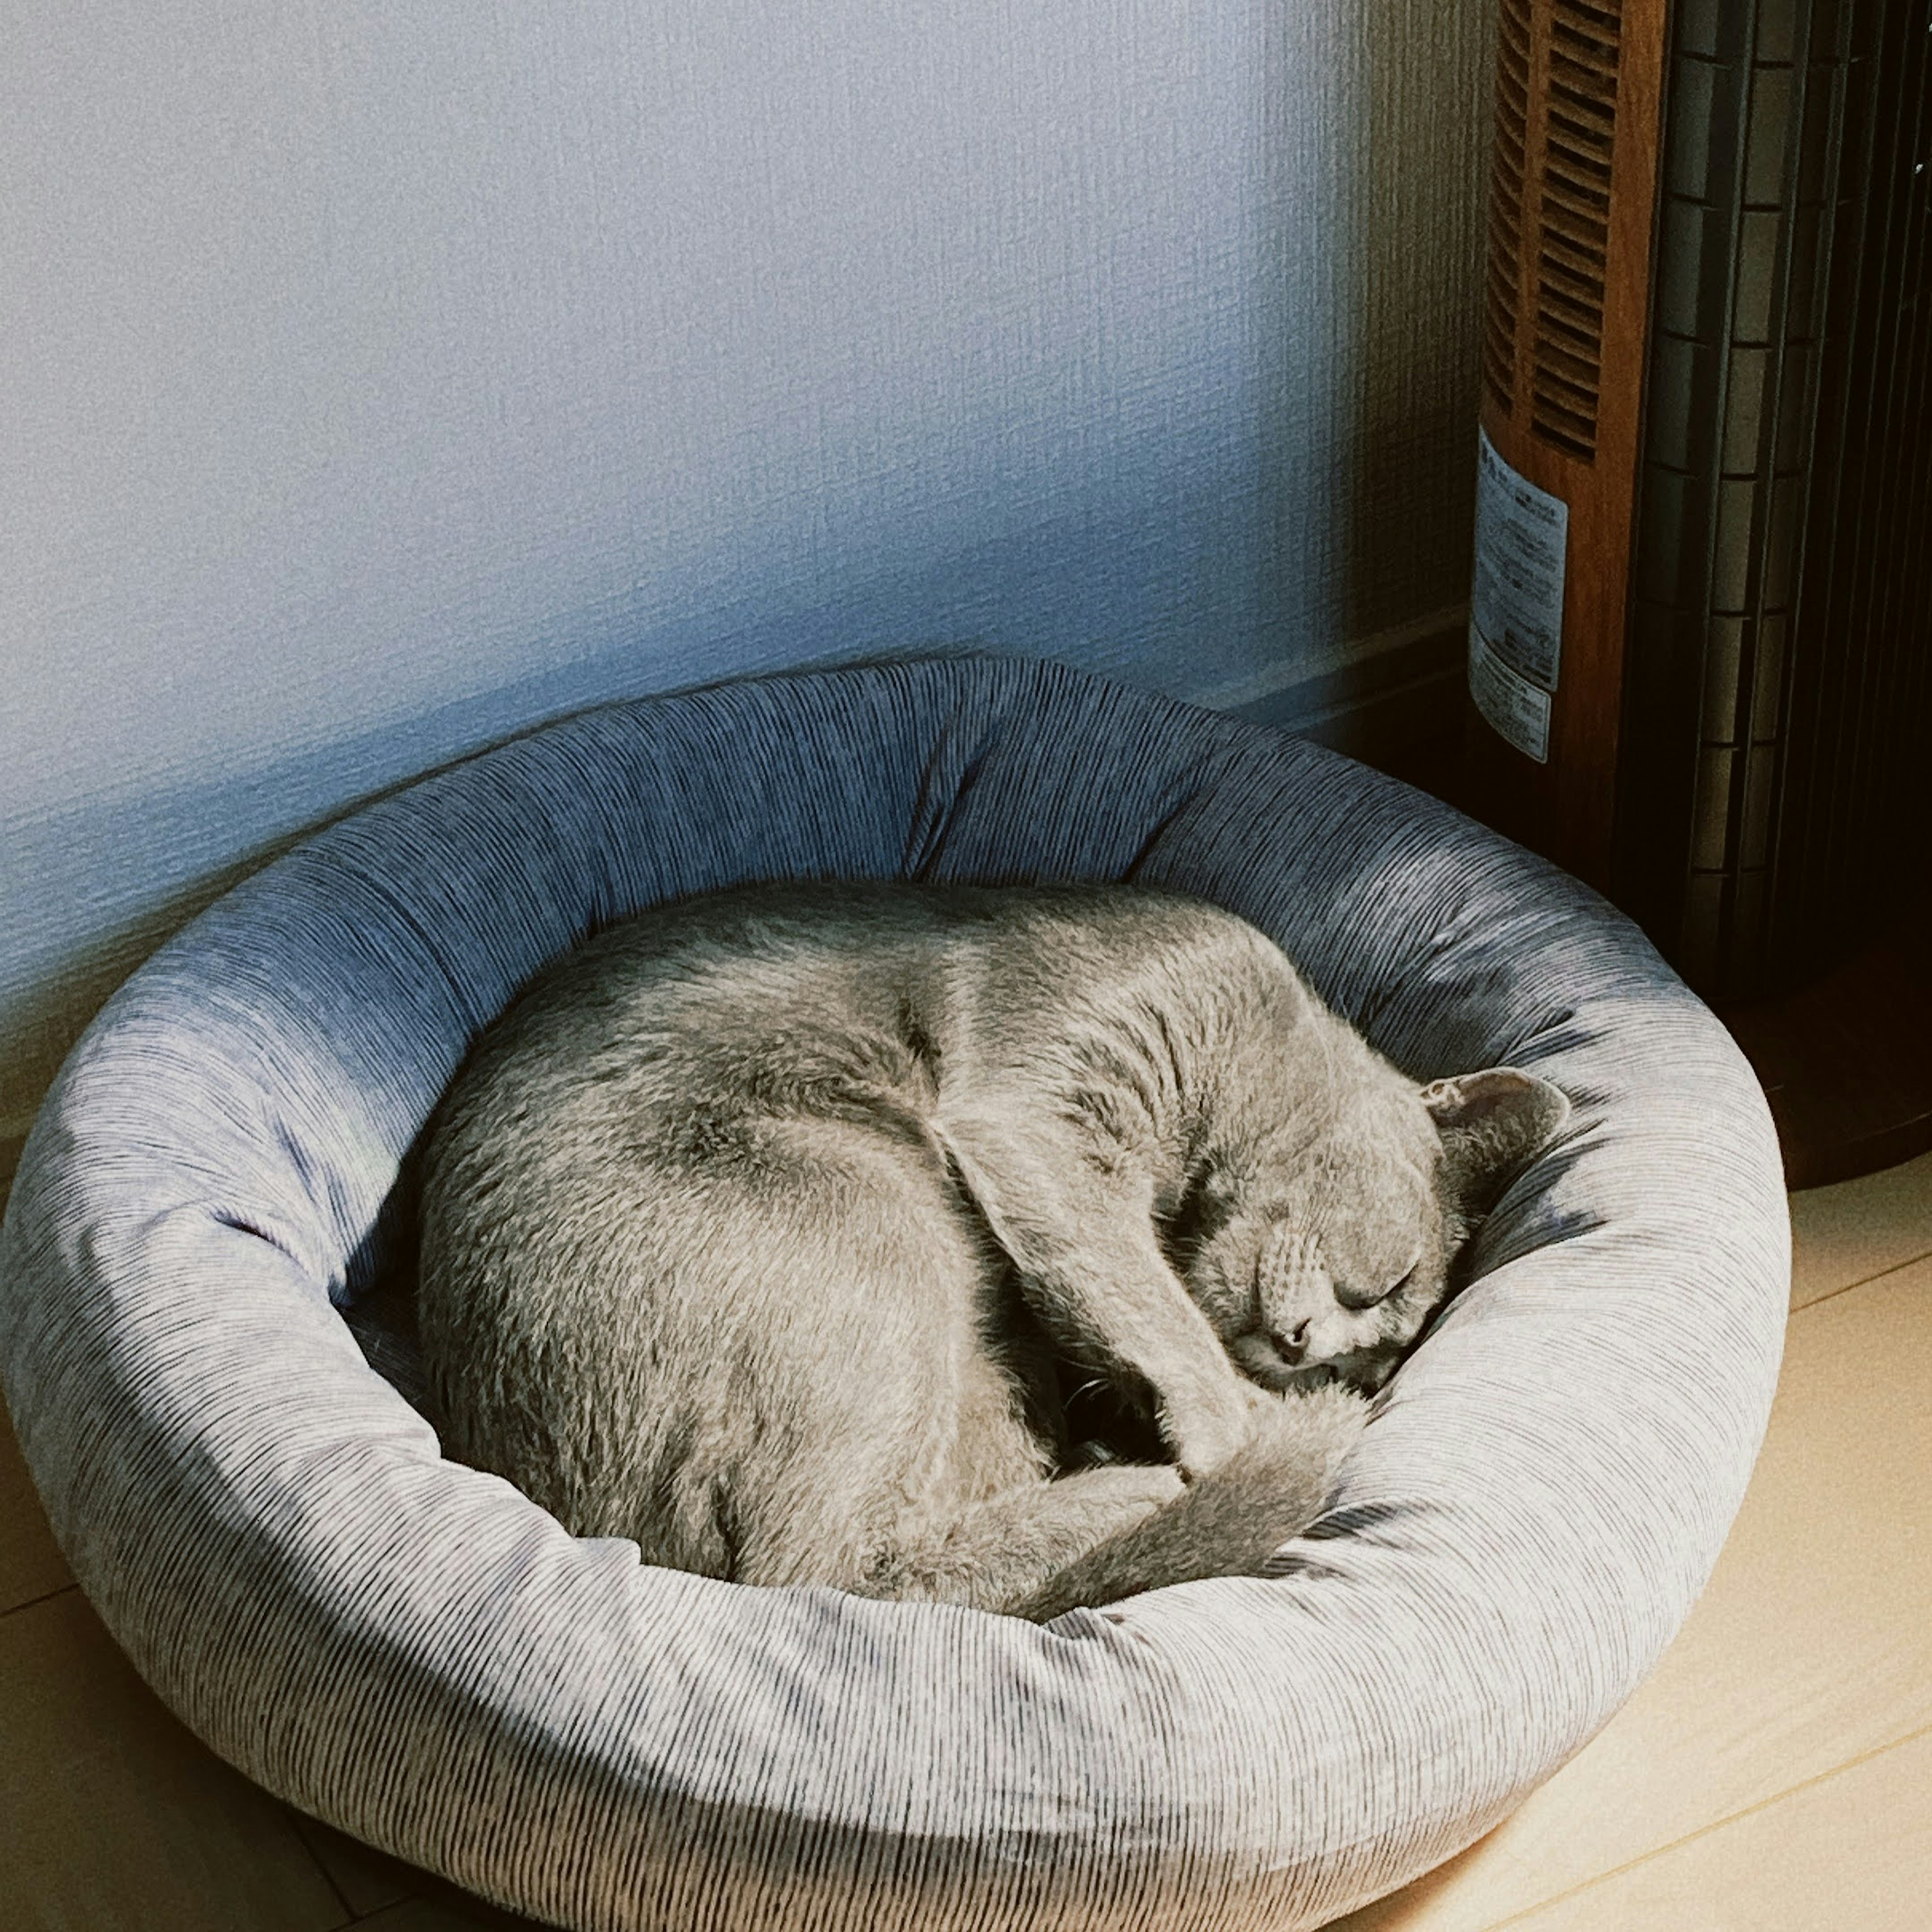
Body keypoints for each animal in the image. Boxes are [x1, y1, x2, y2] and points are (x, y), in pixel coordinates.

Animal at [415, 884, 1561, 1623]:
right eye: (1388, 1284)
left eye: (1376, 1348)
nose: (1309, 1355)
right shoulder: (1044, 1116)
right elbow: (1149, 1301)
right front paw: (1237, 1428)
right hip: (869, 1215)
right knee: (821, 1571)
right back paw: (1157, 1489)